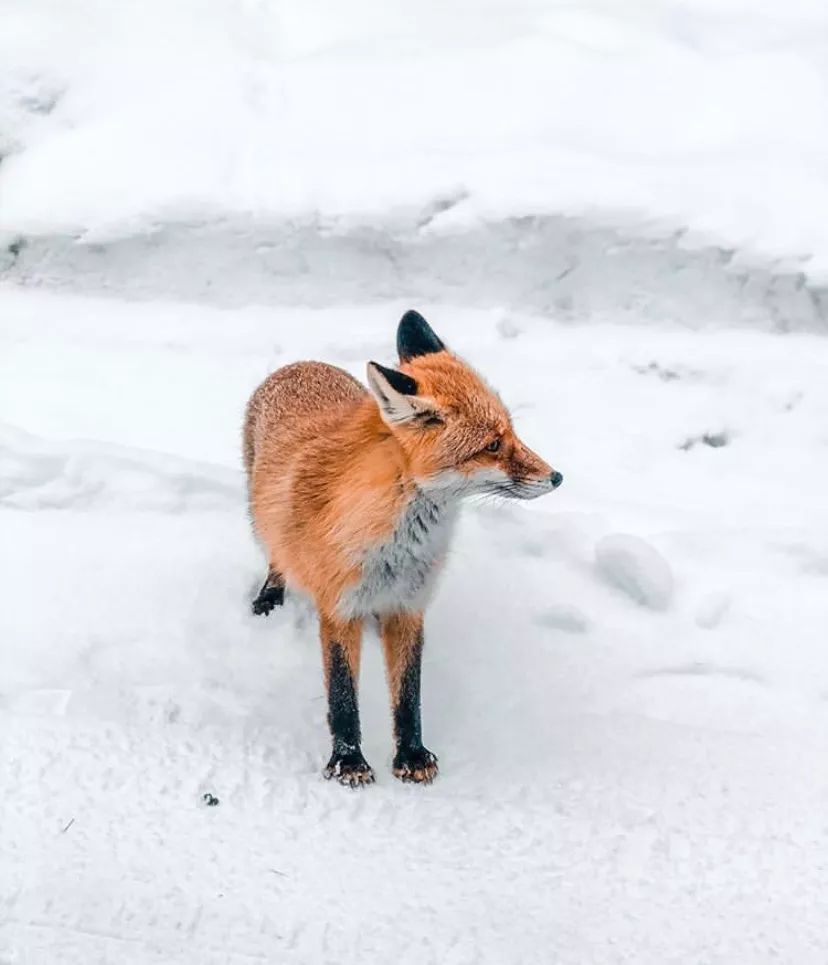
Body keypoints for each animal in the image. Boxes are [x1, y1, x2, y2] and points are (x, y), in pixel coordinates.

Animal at [241, 312, 564, 788]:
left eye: (511, 432)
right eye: (491, 445)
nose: (557, 476)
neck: (396, 550)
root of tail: (301, 364)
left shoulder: (410, 605)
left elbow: (409, 695)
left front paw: (411, 755)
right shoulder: (339, 608)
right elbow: (343, 697)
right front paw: (349, 762)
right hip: (261, 519)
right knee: (276, 554)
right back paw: (270, 595)